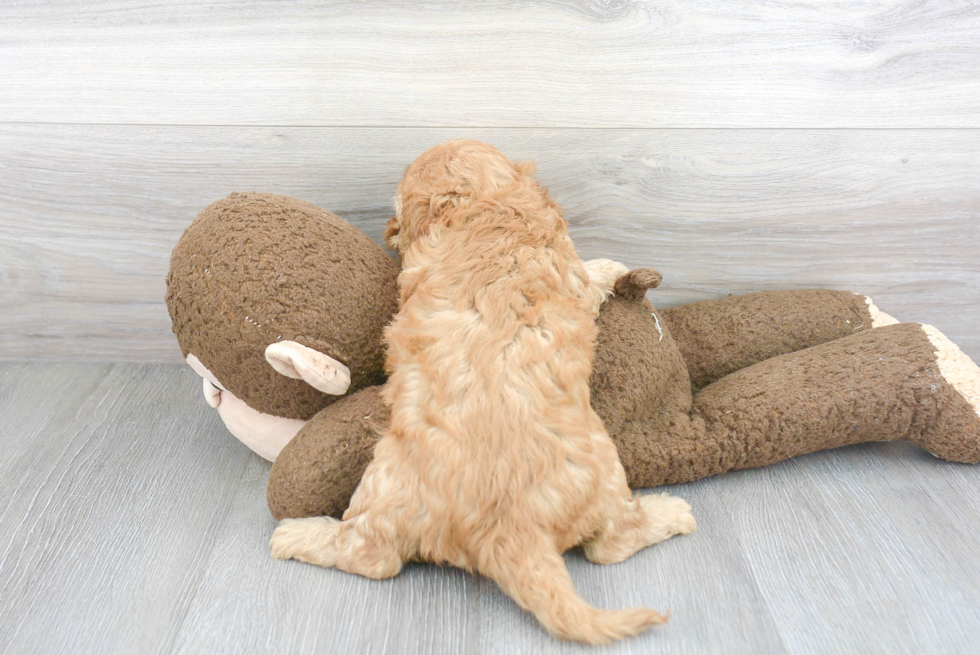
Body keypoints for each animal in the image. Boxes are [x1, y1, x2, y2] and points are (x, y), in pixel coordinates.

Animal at [268, 140, 696, 644]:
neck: (482, 205)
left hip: (392, 479)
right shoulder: (569, 272)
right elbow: (591, 276)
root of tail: (508, 526)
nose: (389, 230)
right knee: (611, 542)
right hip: (600, 472)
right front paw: (613, 267)